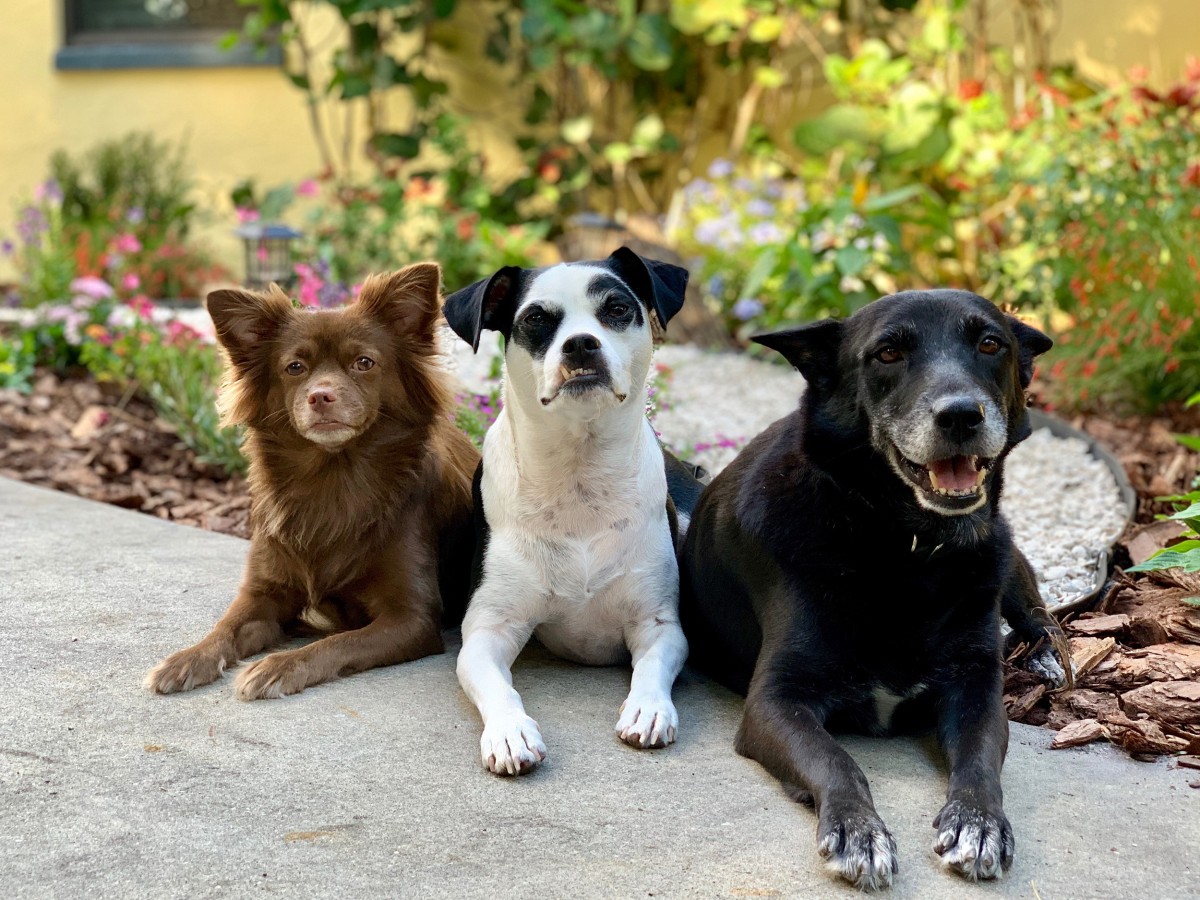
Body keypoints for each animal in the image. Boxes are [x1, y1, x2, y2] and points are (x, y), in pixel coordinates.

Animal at [146, 264, 478, 700]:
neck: (332, 477)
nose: (320, 396)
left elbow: (339, 642)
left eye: (364, 363)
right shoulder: (264, 596)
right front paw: (188, 658)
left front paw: (279, 666)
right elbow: (226, 626)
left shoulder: (412, 619)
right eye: (295, 368)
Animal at [442, 247, 699, 775]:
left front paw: (649, 707)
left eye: (617, 309)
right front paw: (509, 731)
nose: (581, 344)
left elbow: (651, 667)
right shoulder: (486, 631)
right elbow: (499, 687)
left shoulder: (659, 625)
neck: (580, 477)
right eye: (536, 319)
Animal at [680, 289, 1060, 890]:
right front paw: (858, 830)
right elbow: (838, 761)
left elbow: (979, 761)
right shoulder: (775, 701)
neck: (902, 547)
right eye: (887, 353)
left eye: (989, 344)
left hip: (1001, 549)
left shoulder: (976, 687)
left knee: (1036, 610)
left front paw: (978, 823)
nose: (961, 414)